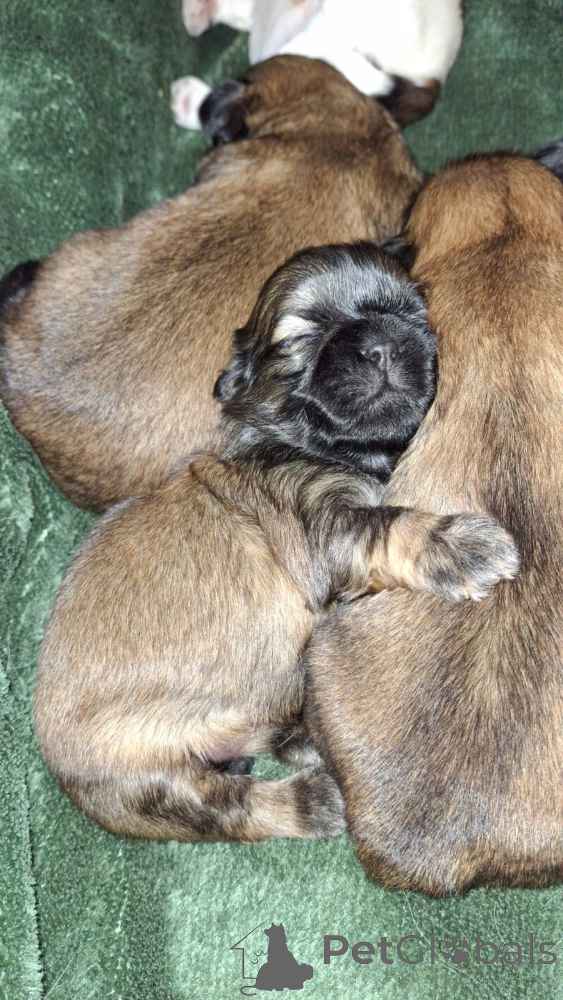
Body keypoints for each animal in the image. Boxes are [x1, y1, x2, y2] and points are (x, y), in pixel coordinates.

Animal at [33, 243, 518, 844]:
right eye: (301, 334)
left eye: (411, 311)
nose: (383, 345)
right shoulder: (324, 525)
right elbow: (392, 523)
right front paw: (462, 545)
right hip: (150, 784)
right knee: (236, 808)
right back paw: (315, 800)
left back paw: (304, 740)